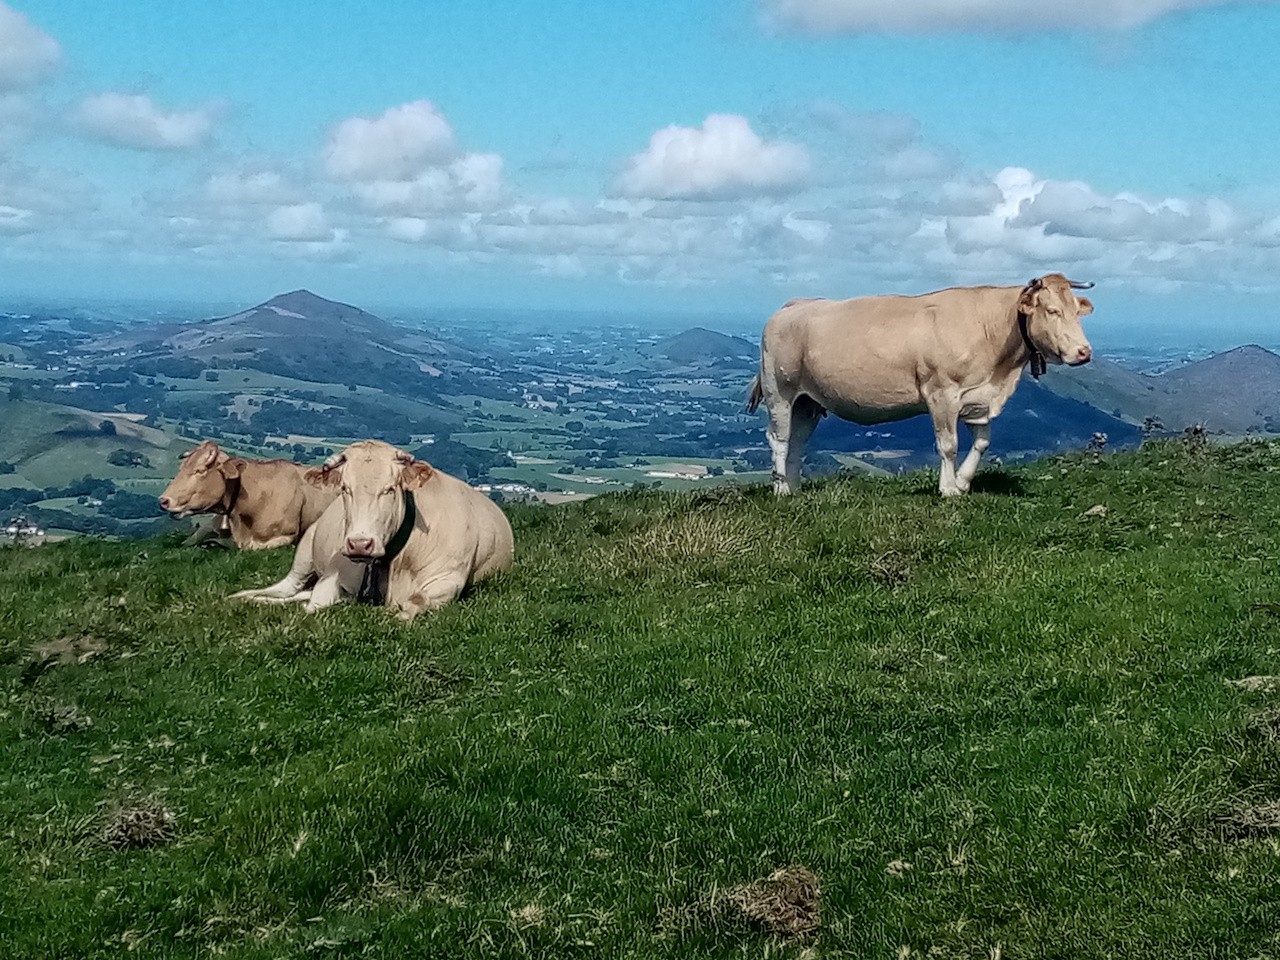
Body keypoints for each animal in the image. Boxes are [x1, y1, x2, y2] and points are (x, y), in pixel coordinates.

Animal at [230, 442, 514, 619]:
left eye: (389, 488)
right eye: (345, 488)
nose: (359, 544)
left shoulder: (448, 578)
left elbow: (414, 603)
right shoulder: (332, 574)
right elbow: (314, 606)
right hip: (306, 551)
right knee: (288, 589)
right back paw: (245, 597)